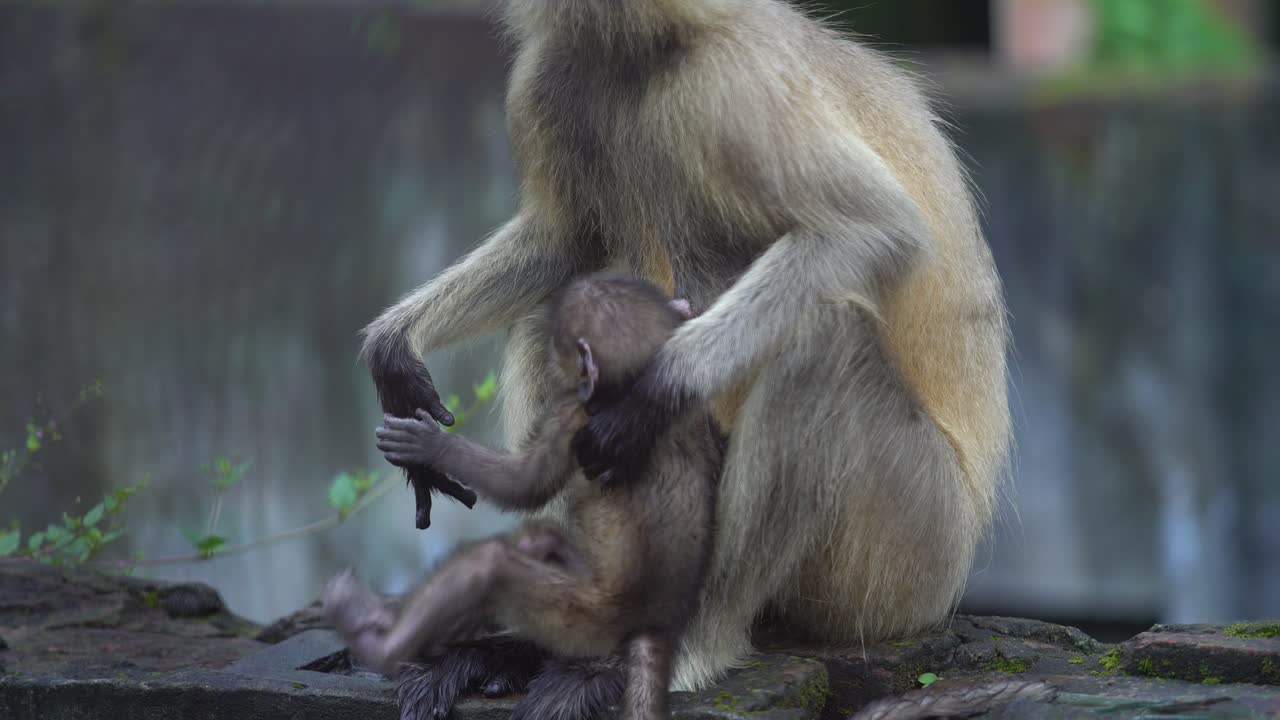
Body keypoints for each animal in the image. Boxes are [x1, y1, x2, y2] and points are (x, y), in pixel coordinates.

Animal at [331, 275, 723, 720]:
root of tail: (653, 626)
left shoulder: (575, 413)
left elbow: (526, 484)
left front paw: (429, 447)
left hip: (584, 620)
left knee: (490, 566)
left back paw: (381, 645)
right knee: (537, 543)